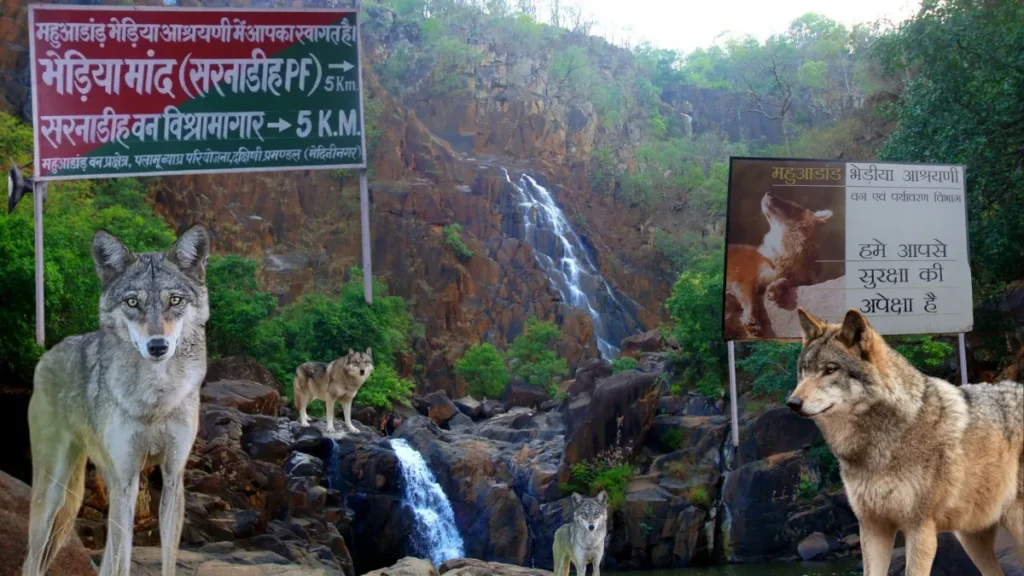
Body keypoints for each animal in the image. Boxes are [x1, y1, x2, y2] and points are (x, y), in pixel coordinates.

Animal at [23, 225, 210, 576]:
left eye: (175, 300)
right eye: (133, 302)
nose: (157, 346)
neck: (155, 399)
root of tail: (49, 351)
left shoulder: (171, 477)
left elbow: (165, 561)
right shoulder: (127, 479)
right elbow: (124, 563)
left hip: (106, 486)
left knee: (107, 560)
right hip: (55, 492)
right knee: (31, 561)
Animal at [725, 191, 833, 338]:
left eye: (791, 205)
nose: (769, 192)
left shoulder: (797, 280)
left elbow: (785, 281)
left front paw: (774, 289)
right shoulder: (744, 280)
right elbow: (751, 302)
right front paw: (751, 321)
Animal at [788, 308, 1024, 576]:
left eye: (830, 370)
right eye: (804, 371)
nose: (792, 403)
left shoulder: (919, 528)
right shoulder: (873, 527)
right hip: (970, 538)